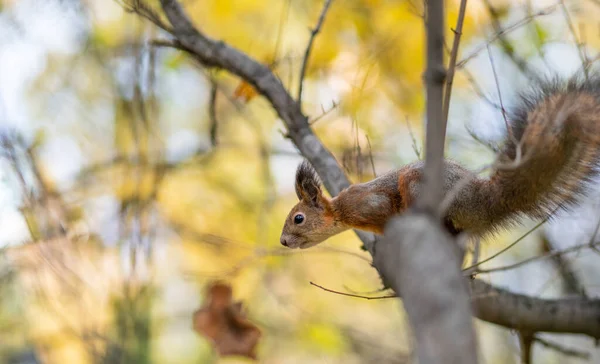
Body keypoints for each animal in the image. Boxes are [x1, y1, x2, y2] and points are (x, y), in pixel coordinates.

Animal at [278, 75, 600, 249]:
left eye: (298, 218)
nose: (282, 241)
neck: (342, 212)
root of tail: (485, 202)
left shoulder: (372, 203)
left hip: (420, 186)